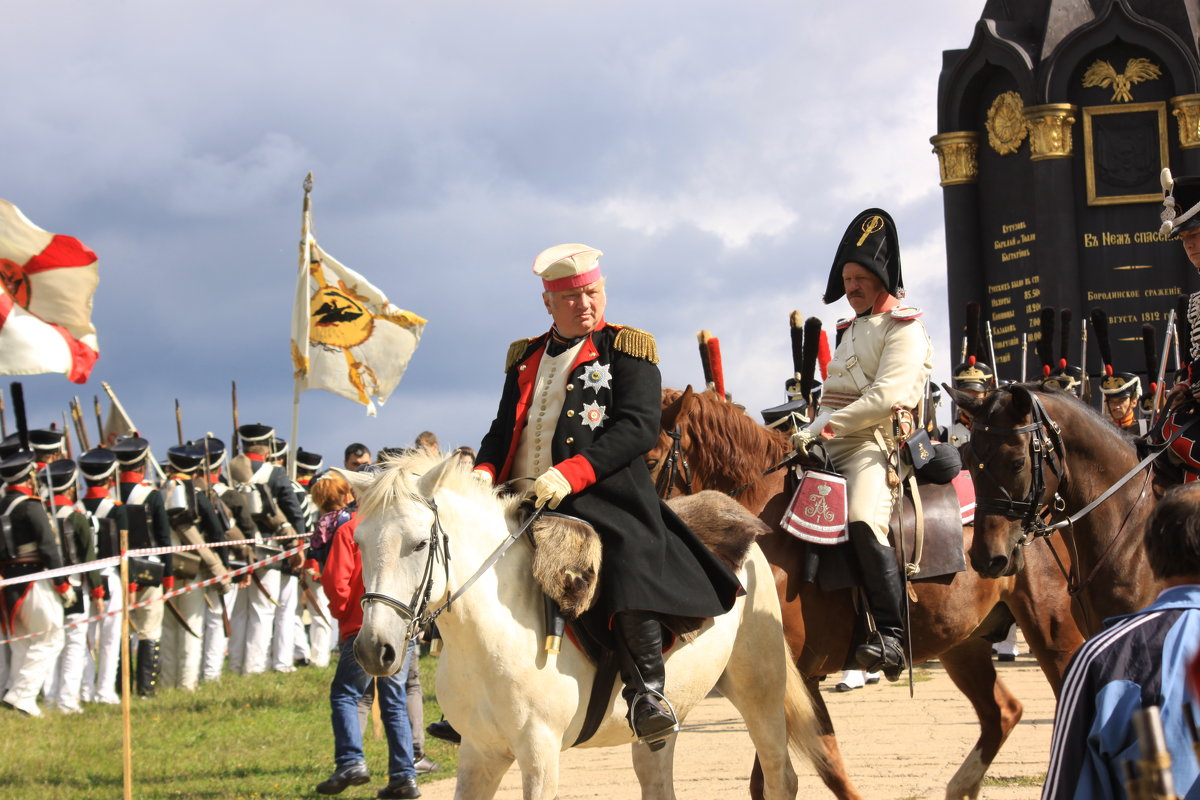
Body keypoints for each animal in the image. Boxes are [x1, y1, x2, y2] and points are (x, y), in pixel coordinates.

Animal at [343, 450, 820, 800]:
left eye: (419, 543)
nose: (372, 649)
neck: (486, 639)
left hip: (758, 688)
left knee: (781, 778)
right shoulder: (480, 752)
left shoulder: (540, 753)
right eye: (359, 542)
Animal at [652, 388, 1084, 800]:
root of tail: (1043, 510)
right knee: (1003, 713)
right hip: (962, 645)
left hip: (1052, 631)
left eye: (653, 458)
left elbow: (815, 771)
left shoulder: (793, 678)